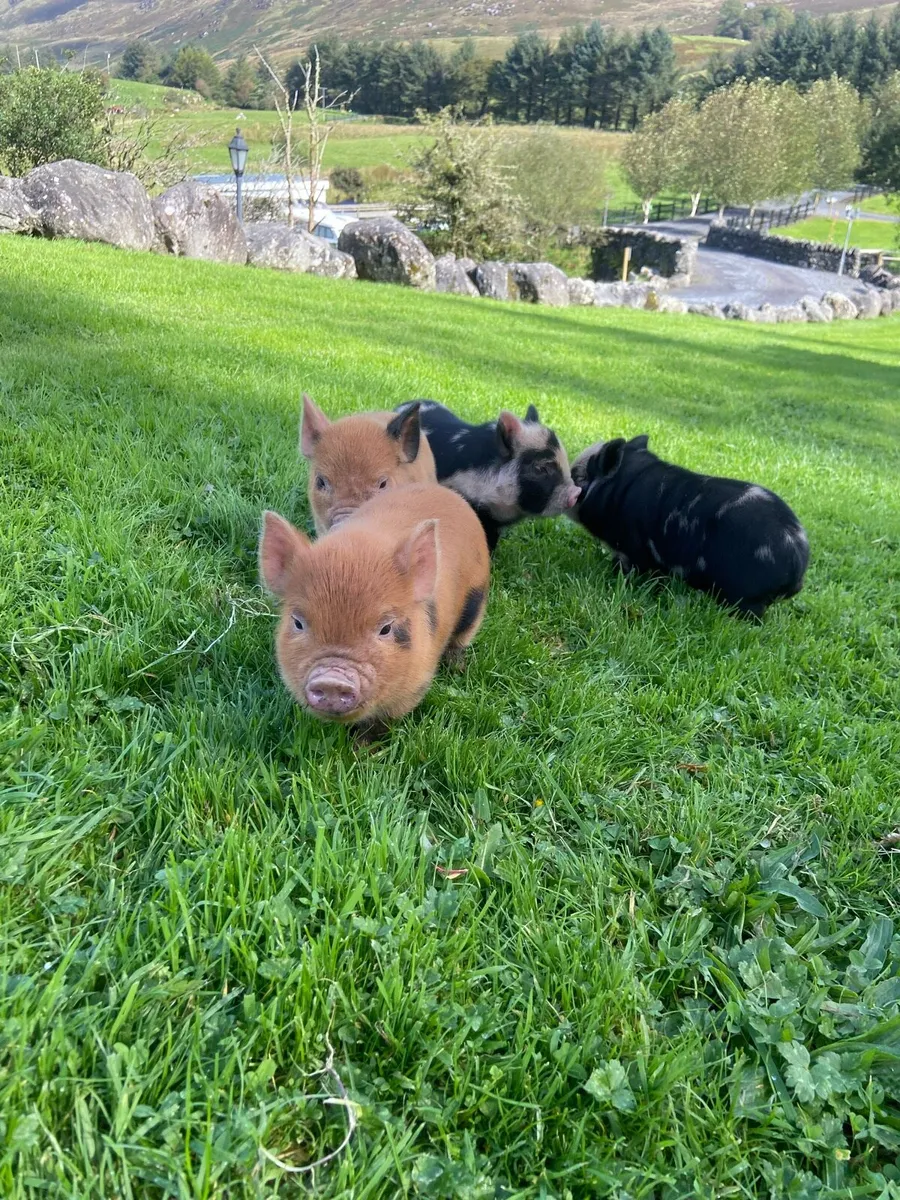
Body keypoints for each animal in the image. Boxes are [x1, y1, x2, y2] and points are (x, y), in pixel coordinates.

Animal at [259, 482, 491, 739]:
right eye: (298, 622)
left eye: (386, 628)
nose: (332, 681)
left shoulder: (416, 682)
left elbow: (380, 724)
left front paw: (362, 747)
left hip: (477, 595)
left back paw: (457, 667)